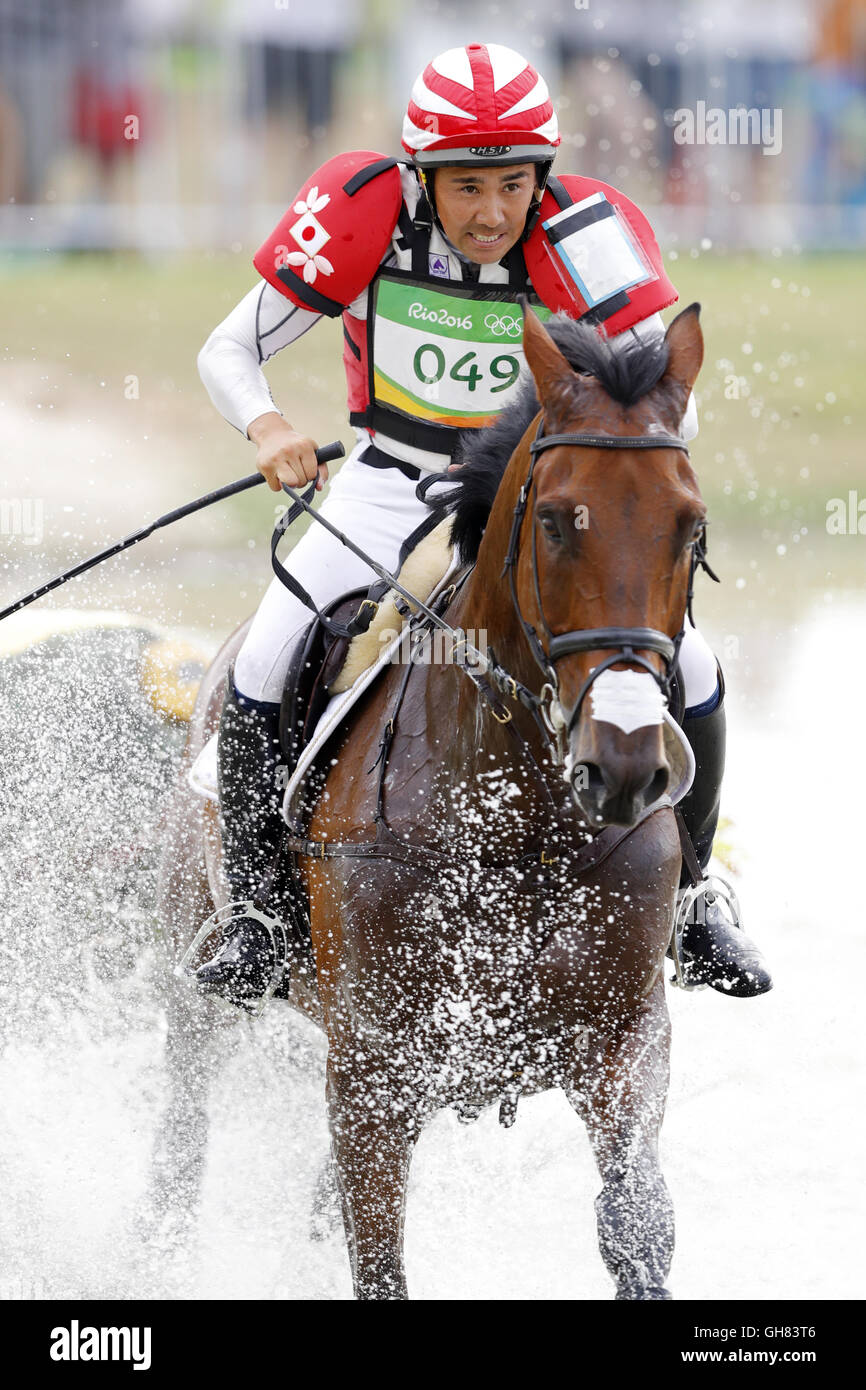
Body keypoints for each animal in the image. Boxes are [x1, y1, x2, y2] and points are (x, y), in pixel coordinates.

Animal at [152, 298, 708, 1295]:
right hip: (199, 968)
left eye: (690, 527)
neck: (515, 823)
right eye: (557, 522)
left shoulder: (625, 1046)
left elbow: (636, 1225)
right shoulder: (373, 1070)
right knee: (183, 1125)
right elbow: (380, 1260)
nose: (626, 768)